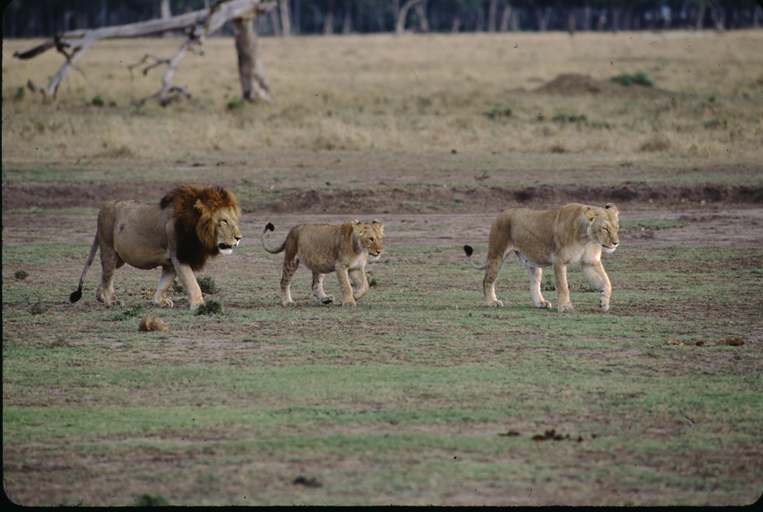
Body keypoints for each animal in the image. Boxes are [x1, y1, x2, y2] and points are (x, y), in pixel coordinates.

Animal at [70, 185, 242, 310]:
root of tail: (102, 208)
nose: (239, 238)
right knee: (108, 274)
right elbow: (192, 283)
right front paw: (200, 305)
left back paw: (101, 297)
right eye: (224, 221)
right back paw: (112, 300)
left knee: (105, 273)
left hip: (119, 257)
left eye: (235, 221)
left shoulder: (171, 262)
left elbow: (164, 283)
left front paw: (159, 302)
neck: (196, 229)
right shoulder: (179, 256)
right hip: (108, 247)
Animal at [466, 204, 620, 312]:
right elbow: (563, 286)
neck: (586, 238)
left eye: (616, 227)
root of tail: (499, 214)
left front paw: (603, 302)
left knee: (534, 285)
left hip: (532, 263)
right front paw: (565, 306)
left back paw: (541, 303)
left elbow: (606, 282)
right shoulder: (559, 260)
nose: (615, 243)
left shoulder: (590, 263)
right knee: (487, 280)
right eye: (605, 228)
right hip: (496, 254)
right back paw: (492, 302)